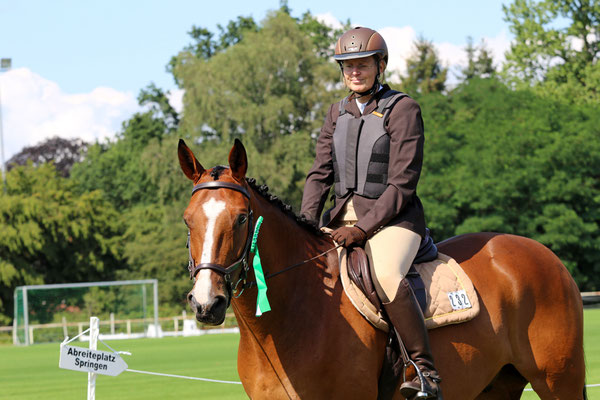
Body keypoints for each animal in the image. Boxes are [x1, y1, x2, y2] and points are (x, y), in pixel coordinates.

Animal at [178, 139, 584, 398]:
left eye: (242, 218)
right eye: (187, 220)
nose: (206, 303)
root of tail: (544, 254)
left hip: (558, 380)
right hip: (497, 386)